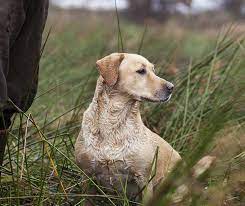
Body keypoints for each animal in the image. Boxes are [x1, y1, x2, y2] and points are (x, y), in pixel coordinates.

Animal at [74, 53, 214, 203]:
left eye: (154, 70)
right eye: (141, 71)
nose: (171, 87)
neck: (114, 121)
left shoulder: (144, 179)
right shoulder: (86, 175)